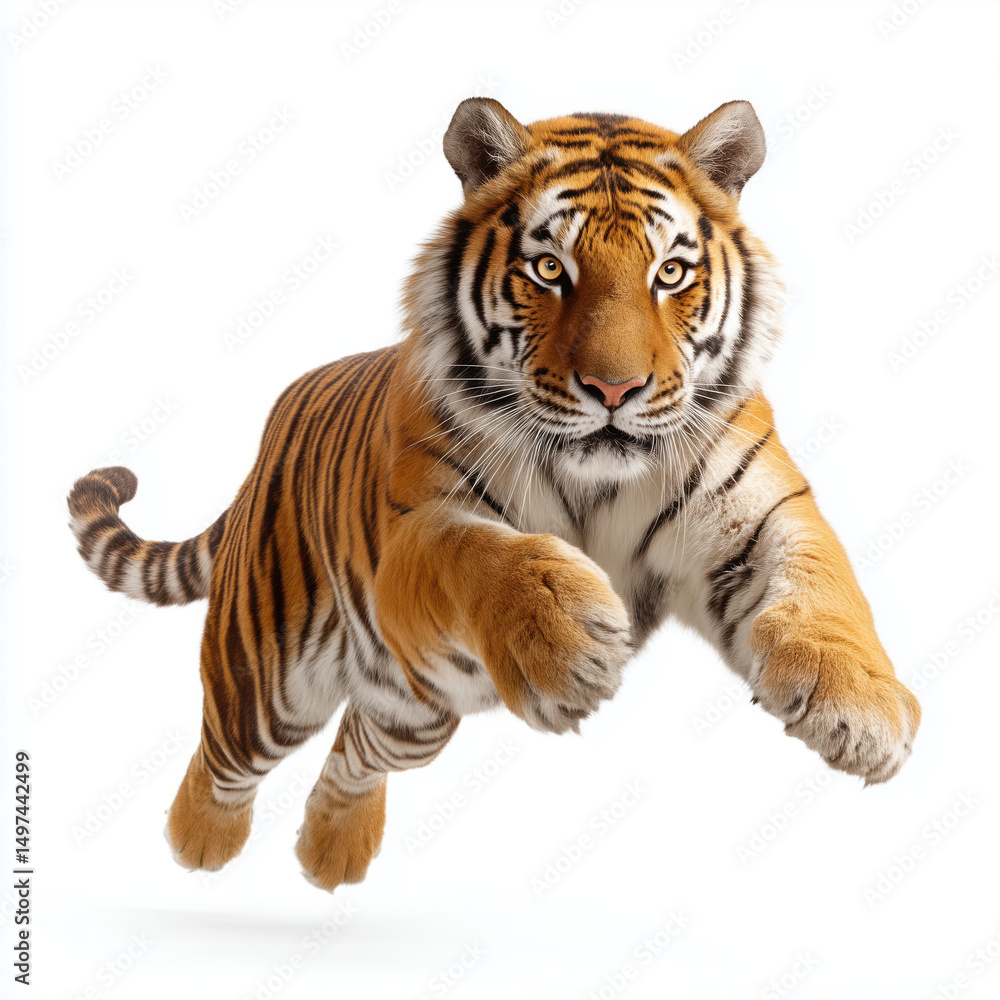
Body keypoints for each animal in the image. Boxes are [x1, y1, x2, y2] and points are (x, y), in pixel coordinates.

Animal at [68, 98, 921, 892]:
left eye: (670, 274)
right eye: (549, 270)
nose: (615, 390)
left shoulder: (761, 514)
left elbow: (822, 588)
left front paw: (862, 708)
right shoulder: (418, 527)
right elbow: (479, 552)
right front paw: (567, 641)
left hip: (412, 709)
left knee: (358, 750)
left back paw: (331, 856)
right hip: (267, 679)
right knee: (226, 755)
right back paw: (197, 846)